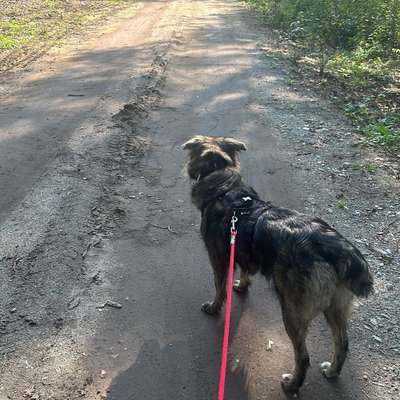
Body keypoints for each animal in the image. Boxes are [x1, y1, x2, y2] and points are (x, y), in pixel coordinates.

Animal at [183, 134, 374, 394]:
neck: (225, 188)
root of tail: (337, 248)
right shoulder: (243, 253)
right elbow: (245, 273)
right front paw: (242, 286)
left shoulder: (218, 258)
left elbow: (219, 289)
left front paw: (214, 307)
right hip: (335, 308)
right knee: (343, 343)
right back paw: (332, 371)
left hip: (292, 313)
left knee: (303, 357)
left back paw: (292, 385)